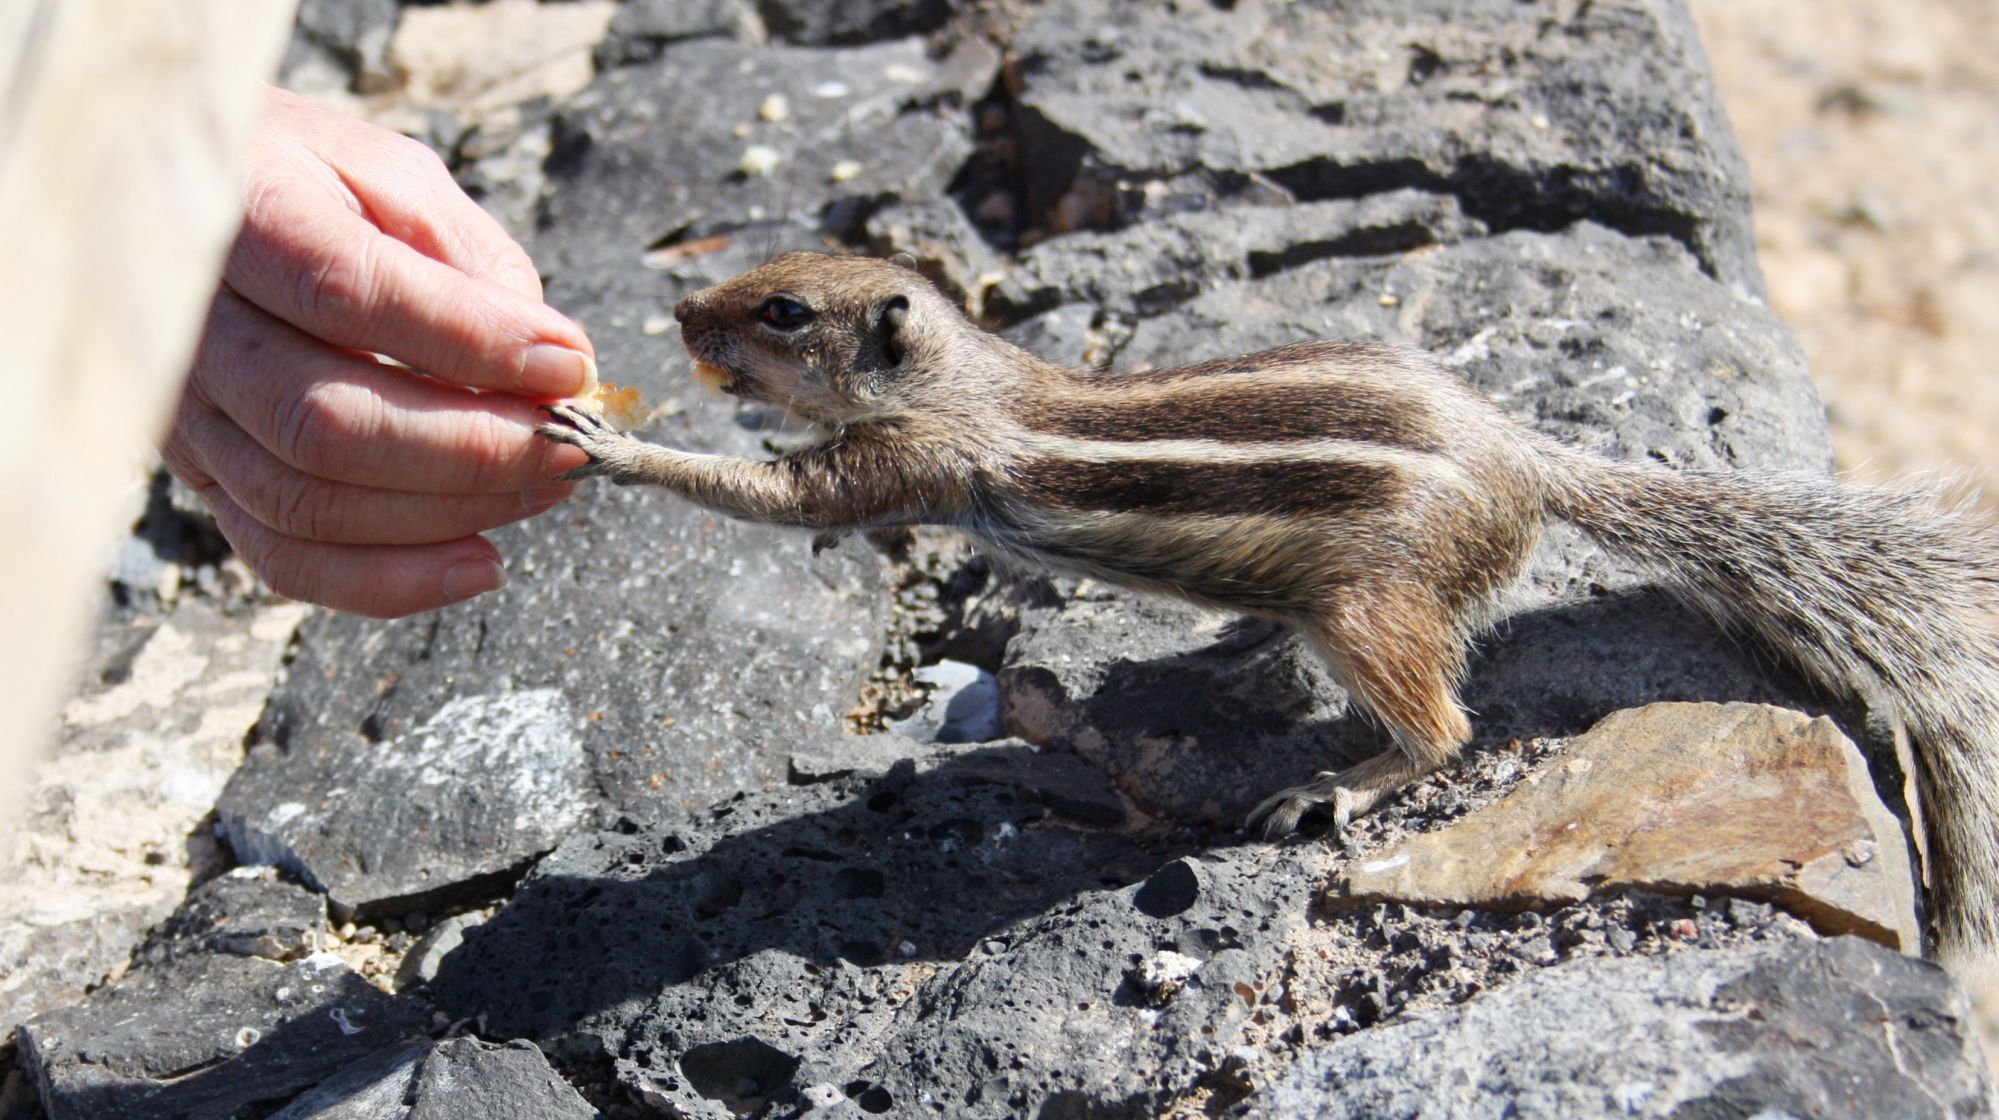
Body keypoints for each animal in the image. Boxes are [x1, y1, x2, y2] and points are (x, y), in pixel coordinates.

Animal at [539, 250, 1999, 964]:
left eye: (784, 310)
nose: (682, 310)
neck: (969, 375)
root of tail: (1526, 459)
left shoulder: (907, 463)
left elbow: (767, 493)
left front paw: (614, 446)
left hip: (1373, 607)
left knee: (1444, 729)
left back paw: (1331, 785)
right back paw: (1237, 648)